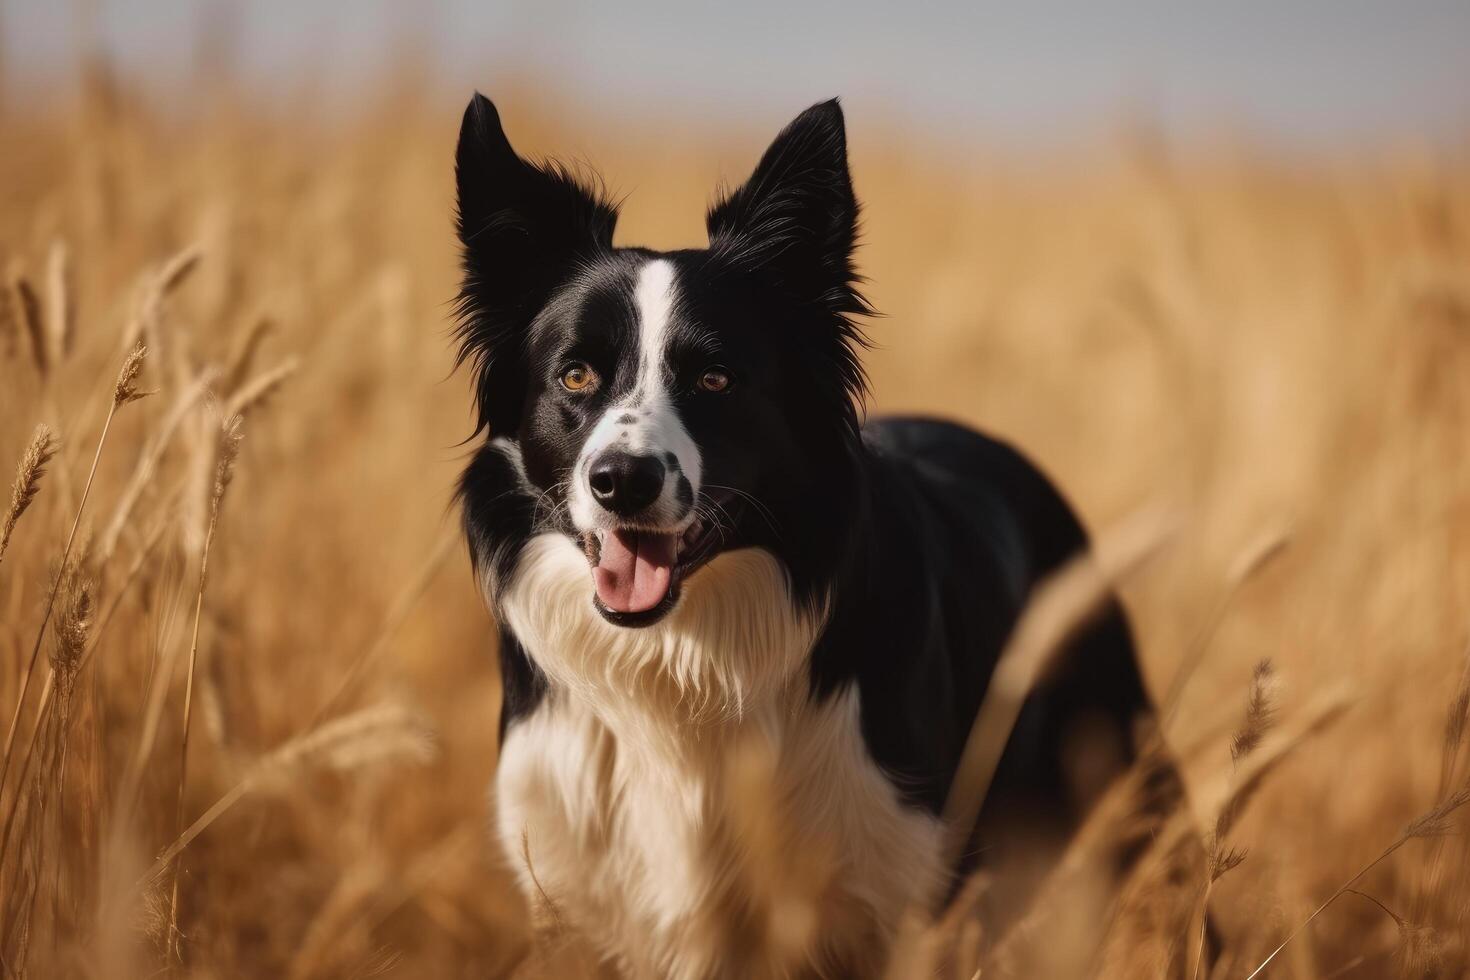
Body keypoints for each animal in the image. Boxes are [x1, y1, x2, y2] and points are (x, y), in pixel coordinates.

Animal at [452, 94, 1176, 980]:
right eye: (576, 375)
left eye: (716, 379)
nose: (622, 479)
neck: (681, 667)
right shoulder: (573, 892)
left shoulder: (902, 892)